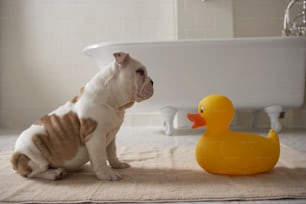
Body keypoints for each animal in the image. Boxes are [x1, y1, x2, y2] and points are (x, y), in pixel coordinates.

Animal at [10, 52, 154, 180]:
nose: (152, 81)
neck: (113, 102)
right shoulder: (96, 137)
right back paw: (54, 173)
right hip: (32, 154)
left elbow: (112, 152)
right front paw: (106, 174)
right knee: (33, 172)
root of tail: (14, 158)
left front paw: (118, 165)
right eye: (140, 72)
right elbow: (100, 157)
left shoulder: (111, 136)